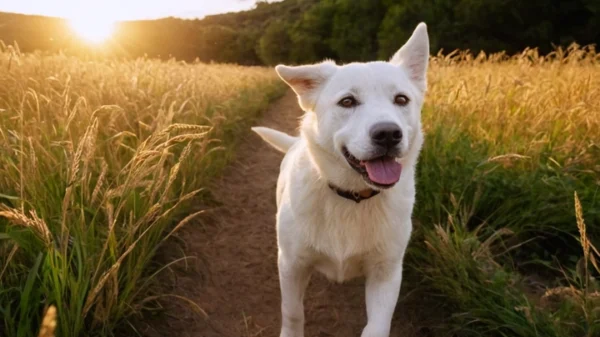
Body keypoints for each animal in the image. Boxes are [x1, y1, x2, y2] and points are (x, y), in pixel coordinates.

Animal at [251, 22, 428, 334]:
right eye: (347, 101)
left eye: (401, 99)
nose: (388, 134)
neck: (352, 196)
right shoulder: (291, 264)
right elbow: (292, 312)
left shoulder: (387, 273)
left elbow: (377, 328)